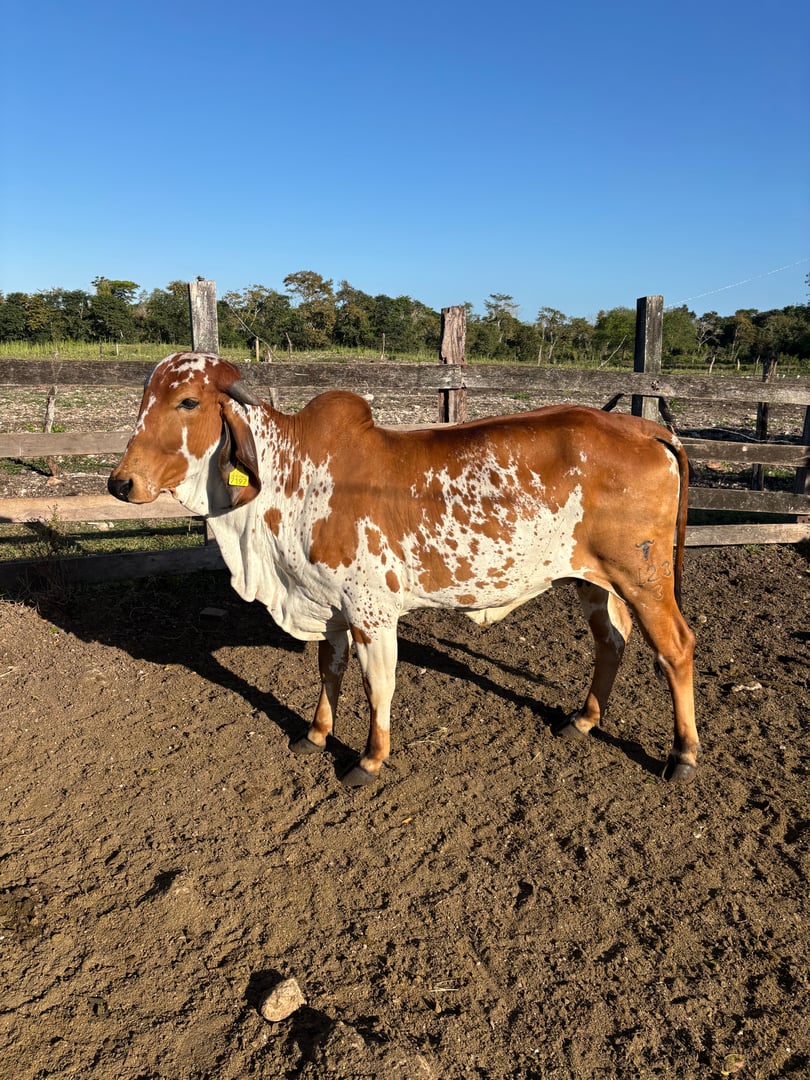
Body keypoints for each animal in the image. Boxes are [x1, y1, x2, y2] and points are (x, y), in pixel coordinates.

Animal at [108, 352, 698, 788]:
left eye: (188, 401)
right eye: (143, 400)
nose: (120, 482)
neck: (293, 478)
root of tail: (643, 428)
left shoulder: (372, 611)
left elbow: (379, 684)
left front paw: (369, 759)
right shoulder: (329, 606)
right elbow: (330, 670)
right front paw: (316, 734)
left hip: (644, 579)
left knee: (675, 648)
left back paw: (683, 755)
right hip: (590, 579)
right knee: (611, 641)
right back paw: (584, 720)